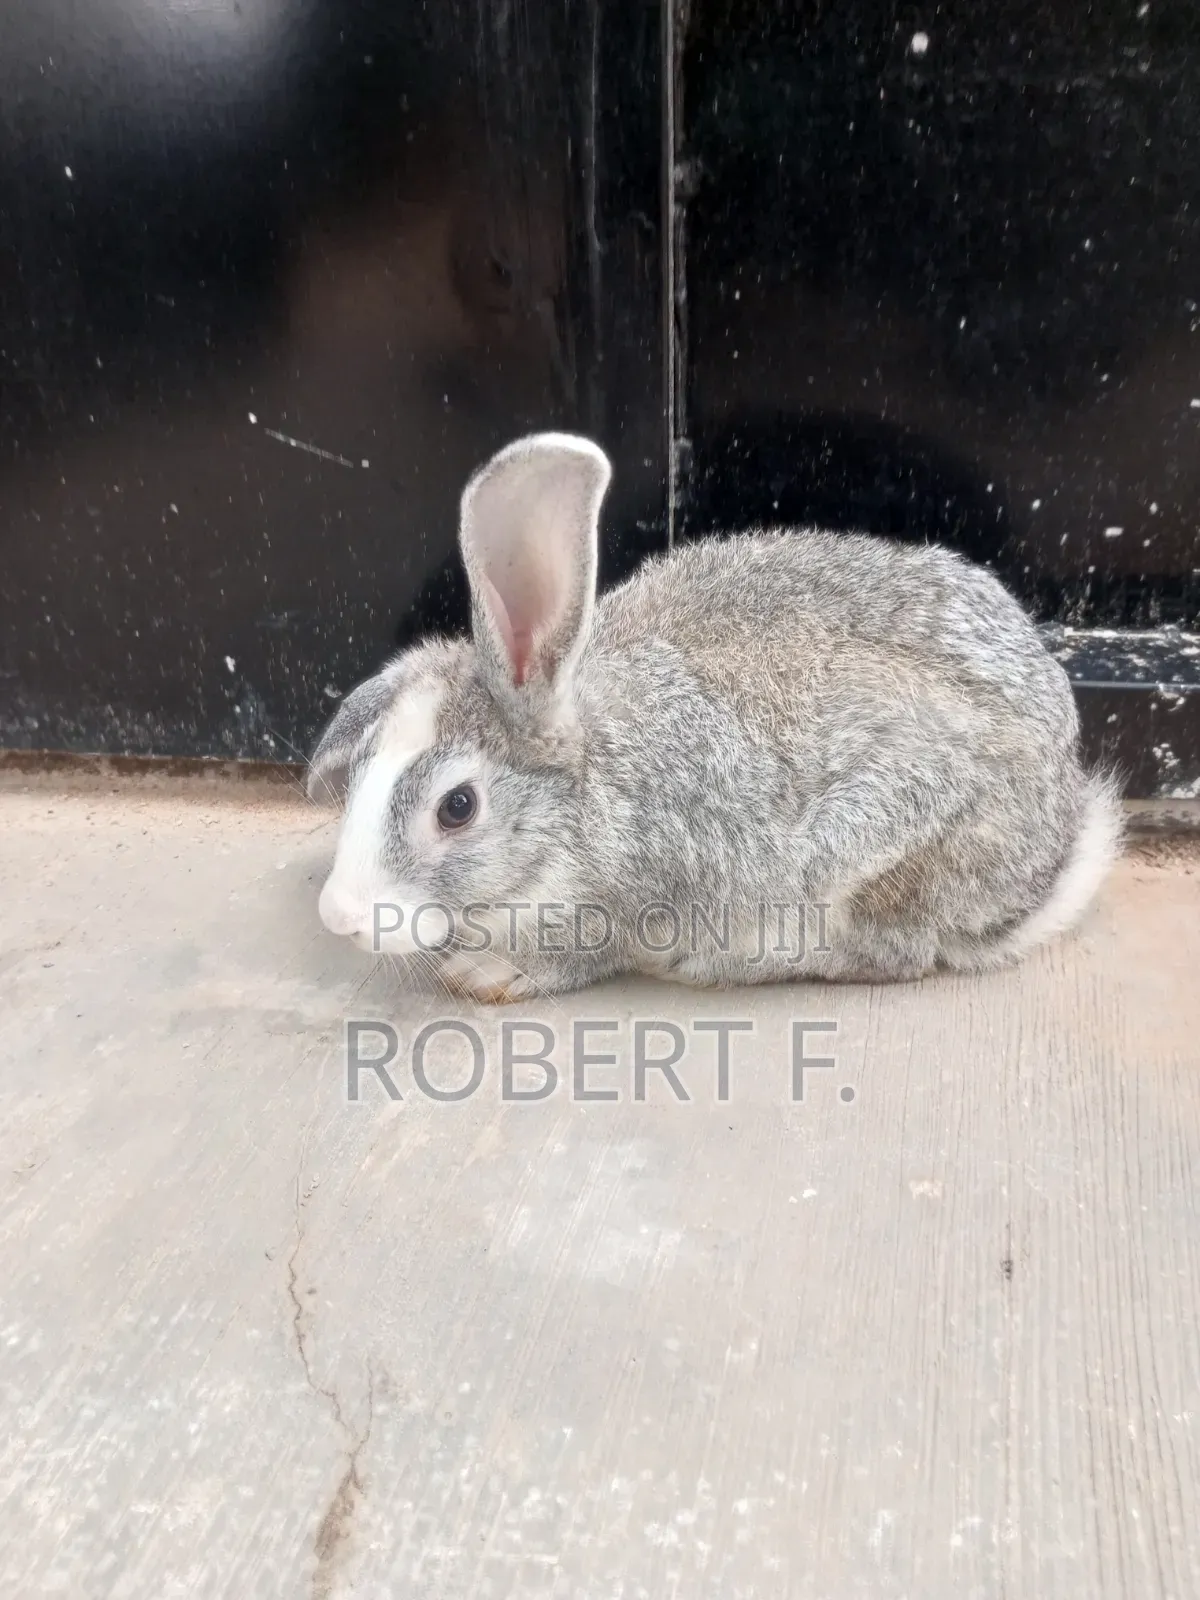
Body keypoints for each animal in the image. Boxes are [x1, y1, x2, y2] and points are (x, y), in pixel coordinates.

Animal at [306, 431, 1122, 1002]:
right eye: (362, 770)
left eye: (458, 807)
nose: (339, 916)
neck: (585, 795)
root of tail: (1057, 837)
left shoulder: (636, 897)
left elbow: (580, 953)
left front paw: (489, 973)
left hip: (889, 851)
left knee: (899, 953)